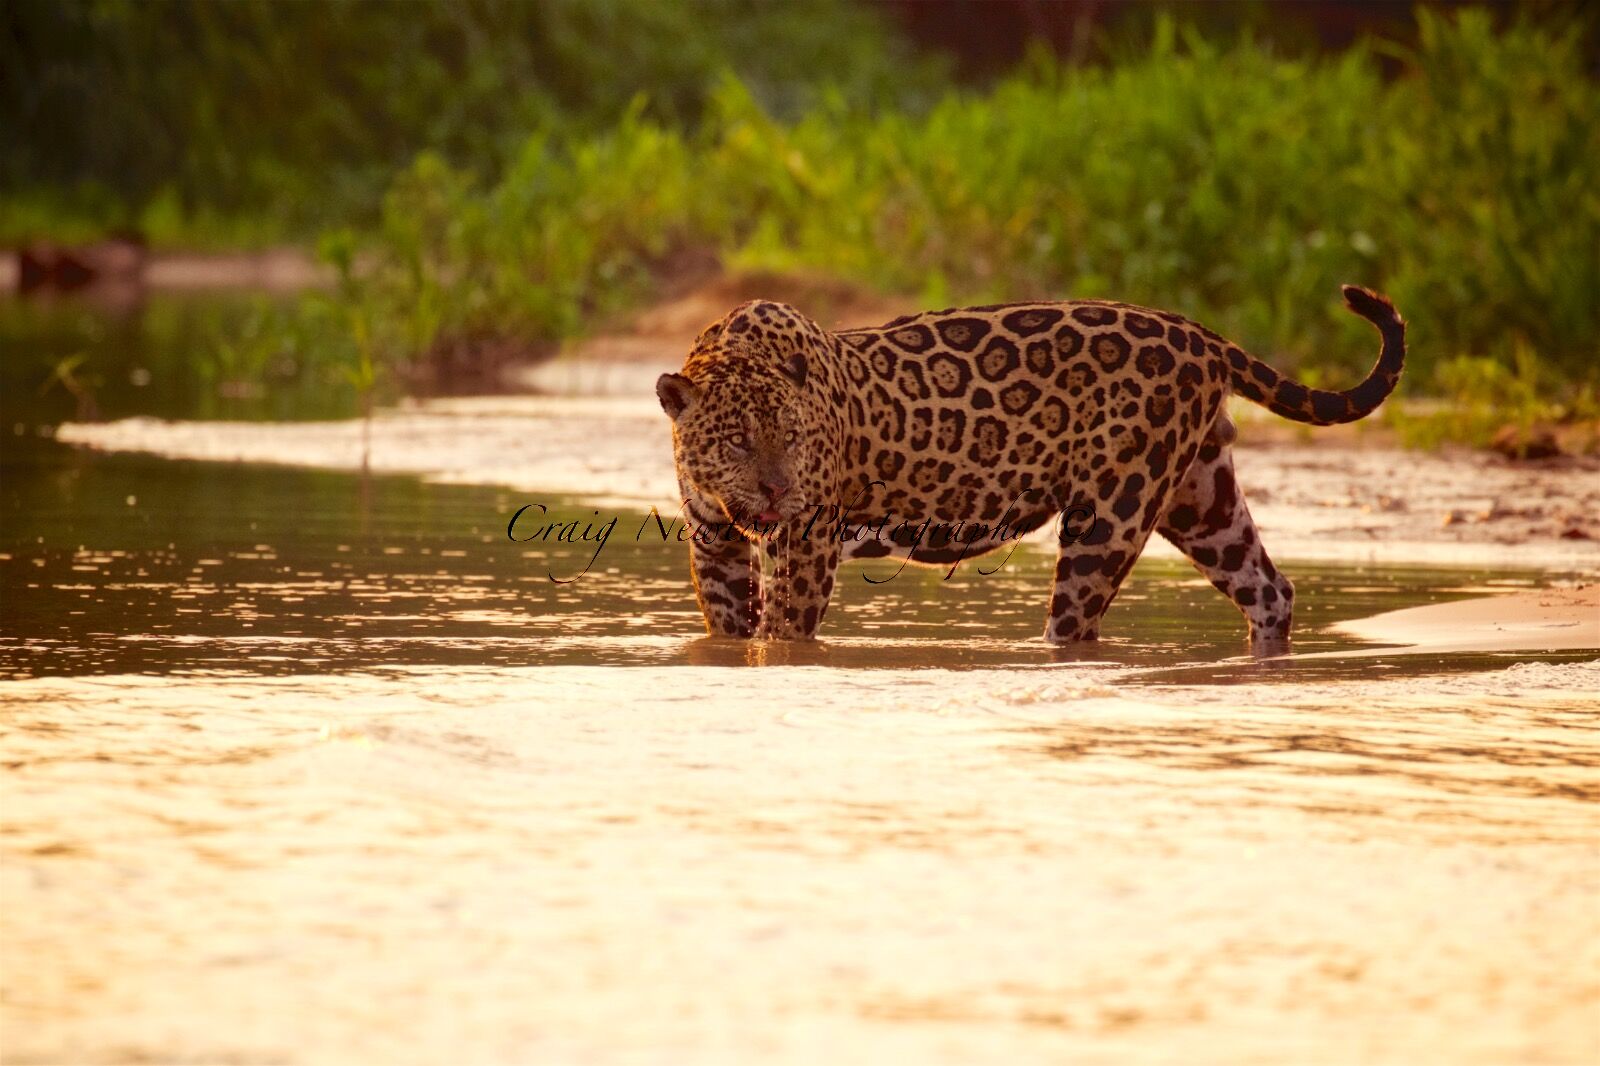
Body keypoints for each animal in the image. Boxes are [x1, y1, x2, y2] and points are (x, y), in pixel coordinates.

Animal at [655, 285, 1405, 647]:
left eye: (793, 437)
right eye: (736, 442)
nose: (776, 493)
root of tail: (1199, 334)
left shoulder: (805, 549)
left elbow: (782, 635)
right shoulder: (714, 547)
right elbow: (730, 628)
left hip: (1112, 514)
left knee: (1076, 619)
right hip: (1202, 497)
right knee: (1269, 589)